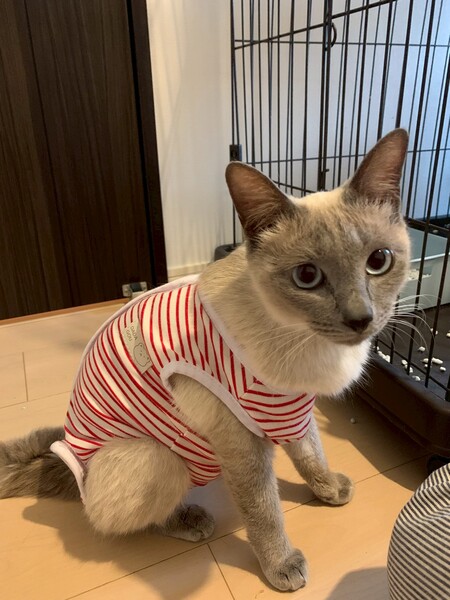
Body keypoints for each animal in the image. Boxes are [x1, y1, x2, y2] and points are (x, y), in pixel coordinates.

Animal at [0, 129, 410, 592]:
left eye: (379, 262)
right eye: (307, 277)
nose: (361, 319)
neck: (304, 342)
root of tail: (65, 466)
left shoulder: (292, 413)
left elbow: (312, 457)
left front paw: (330, 492)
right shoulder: (243, 443)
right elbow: (264, 512)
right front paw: (282, 567)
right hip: (156, 458)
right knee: (115, 517)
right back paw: (190, 520)